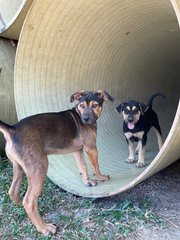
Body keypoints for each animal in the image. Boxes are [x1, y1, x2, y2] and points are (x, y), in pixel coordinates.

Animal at [0, 89, 113, 234]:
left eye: (94, 105)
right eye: (82, 106)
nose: (85, 119)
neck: (79, 114)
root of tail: (12, 129)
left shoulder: (77, 150)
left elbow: (82, 166)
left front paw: (88, 182)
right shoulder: (91, 147)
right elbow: (95, 166)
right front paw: (101, 177)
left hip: (18, 167)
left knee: (13, 192)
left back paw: (22, 206)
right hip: (39, 167)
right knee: (29, 201)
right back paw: (45, 228)